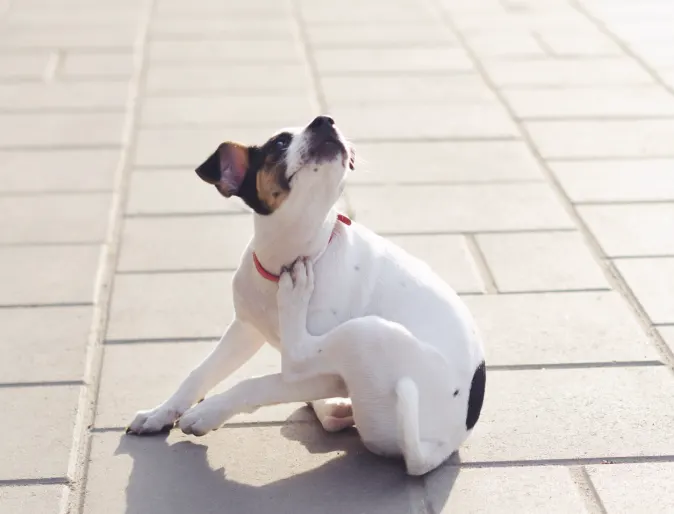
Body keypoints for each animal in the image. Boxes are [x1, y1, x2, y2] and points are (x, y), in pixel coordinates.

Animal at [127, 114, 484, 474]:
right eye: (279, 143)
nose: (325, 120)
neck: (289, 258)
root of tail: (436, 449)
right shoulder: (246, 329)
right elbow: (200, 372)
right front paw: (161, 413)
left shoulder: (326, 374)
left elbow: (259, 384)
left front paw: (207, 412)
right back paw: (335, 408)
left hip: (366, 332)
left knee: (296, 355)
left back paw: (295, 299)